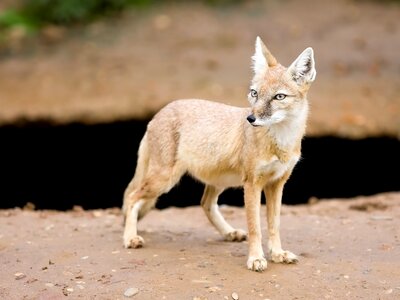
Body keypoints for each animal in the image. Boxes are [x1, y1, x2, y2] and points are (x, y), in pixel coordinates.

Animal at [122, 35, 316, 272]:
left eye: (279, 97)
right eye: (254, 93)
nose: (250, 119)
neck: (281, 143)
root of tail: (159, 112)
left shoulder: (277, 183)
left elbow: (274, 225)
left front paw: (278, 254)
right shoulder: (252, 184)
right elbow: (255, 227)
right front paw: (256, 258)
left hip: (218, 181)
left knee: (205, 204)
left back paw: (229, 233)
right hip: (164, 180)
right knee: (132, 197)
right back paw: (130, 237)